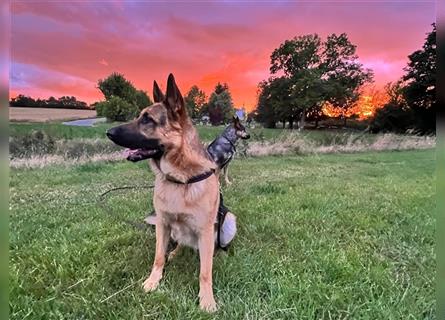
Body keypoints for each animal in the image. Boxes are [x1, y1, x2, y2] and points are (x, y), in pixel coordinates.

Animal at [104, 74, 222, 312]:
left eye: (148, 120)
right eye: (139, 116)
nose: (108, 133)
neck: (179, 179)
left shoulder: (205, 231)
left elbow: (205, 272)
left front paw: (207, 299)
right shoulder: (163, 224)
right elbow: (158, 256)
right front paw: (153, 281)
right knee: (180, 245)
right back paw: (175, 253)